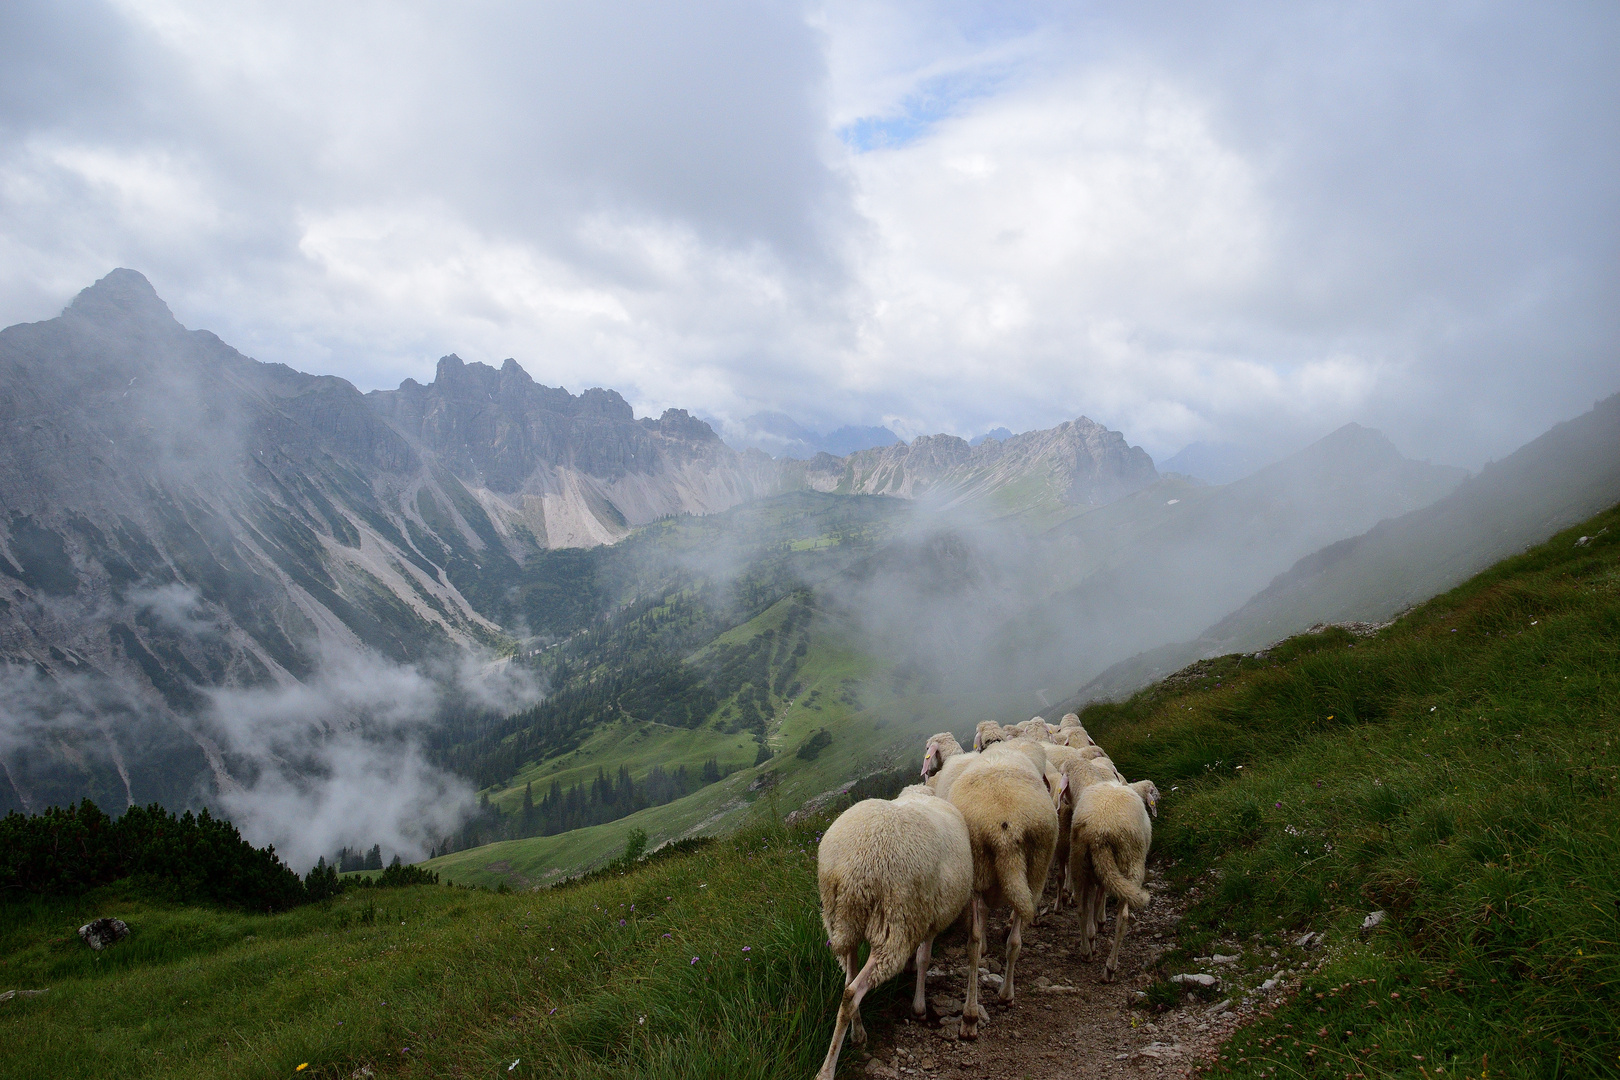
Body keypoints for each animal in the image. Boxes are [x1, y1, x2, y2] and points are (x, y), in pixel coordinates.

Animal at [816, 786, 965, 1080]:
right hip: (893, 927)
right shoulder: (929, 919)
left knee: (847, 981)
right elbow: (924, 959)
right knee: (852, 992)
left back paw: (858, 1035)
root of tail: (852, 869)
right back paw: (827, 1070)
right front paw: (919, 1008)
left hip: (844, 923)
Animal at [946, 744, 1056, 1036]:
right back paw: (1003, 996)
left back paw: (971, 1015)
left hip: (978, 869)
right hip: (1036, 867)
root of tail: (1006, 827)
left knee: (975, 944)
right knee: (1014, 940)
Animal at [1069, 780, 1159, 984]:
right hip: (1131, 861)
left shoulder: (1099, 872)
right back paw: (1110, 968)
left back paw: (1086, 951)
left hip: (1079, 862)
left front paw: (1094, 931)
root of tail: (1098, 831)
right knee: (1123, 917)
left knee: (1081, 909)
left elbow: (1096, 899)